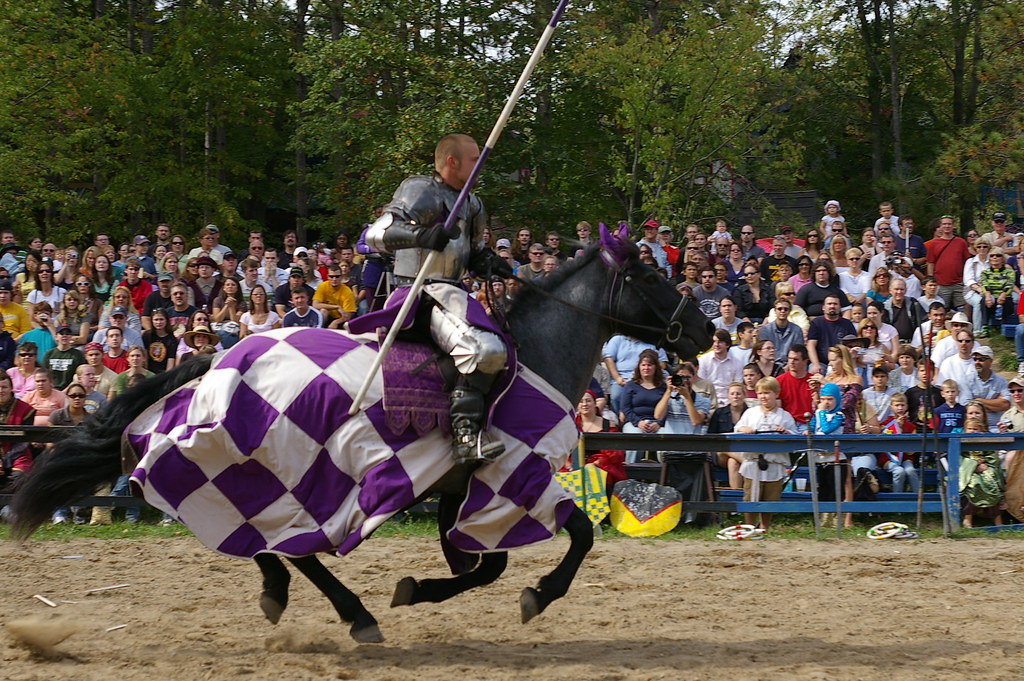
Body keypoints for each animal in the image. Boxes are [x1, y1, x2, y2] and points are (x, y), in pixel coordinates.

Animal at [9, 224, 712, 643]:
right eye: (652, 276)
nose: (706, 331)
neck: (533, 354)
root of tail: (216, 359)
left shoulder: (456, 489)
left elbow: (483, 567)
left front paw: (417, 590)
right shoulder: (514, 480)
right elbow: (568, 540)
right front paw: (536, 596)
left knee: (276, 544)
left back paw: (295, 597)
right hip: (272, 471)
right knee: (284, 543)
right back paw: (349, 613)